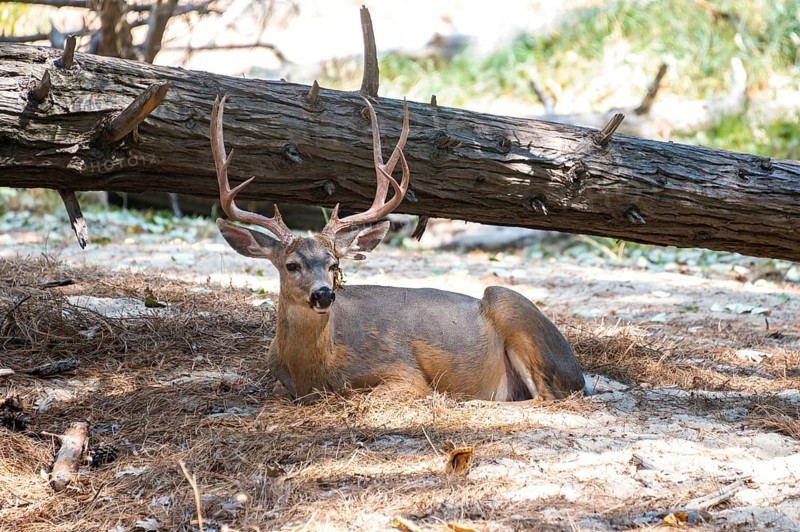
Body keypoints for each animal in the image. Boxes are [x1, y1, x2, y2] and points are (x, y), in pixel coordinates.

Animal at [211, 95, 587, 403]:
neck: (313, 372)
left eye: (333, 264)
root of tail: (581, 376)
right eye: (291, 265)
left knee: (546, 398)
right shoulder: (278, 380)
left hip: (508, 304)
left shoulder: (403, 371)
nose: (323, 294)